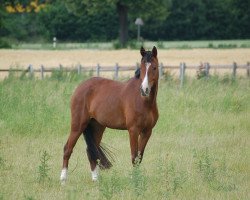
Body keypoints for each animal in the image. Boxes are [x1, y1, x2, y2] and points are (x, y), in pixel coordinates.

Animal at [59, 46, 159, 183]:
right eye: (142, 68)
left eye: (154, 67)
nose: (144, 90)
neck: (143, 101)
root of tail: (80, 87)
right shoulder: (133, 130)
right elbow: (134, 156)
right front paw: (134, 180)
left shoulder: (147, 131)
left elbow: (139, 157)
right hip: (78, 125)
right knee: (67, 149)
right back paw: (63, 179)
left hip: (97, 127)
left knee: (91, 151)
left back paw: (96, 179)